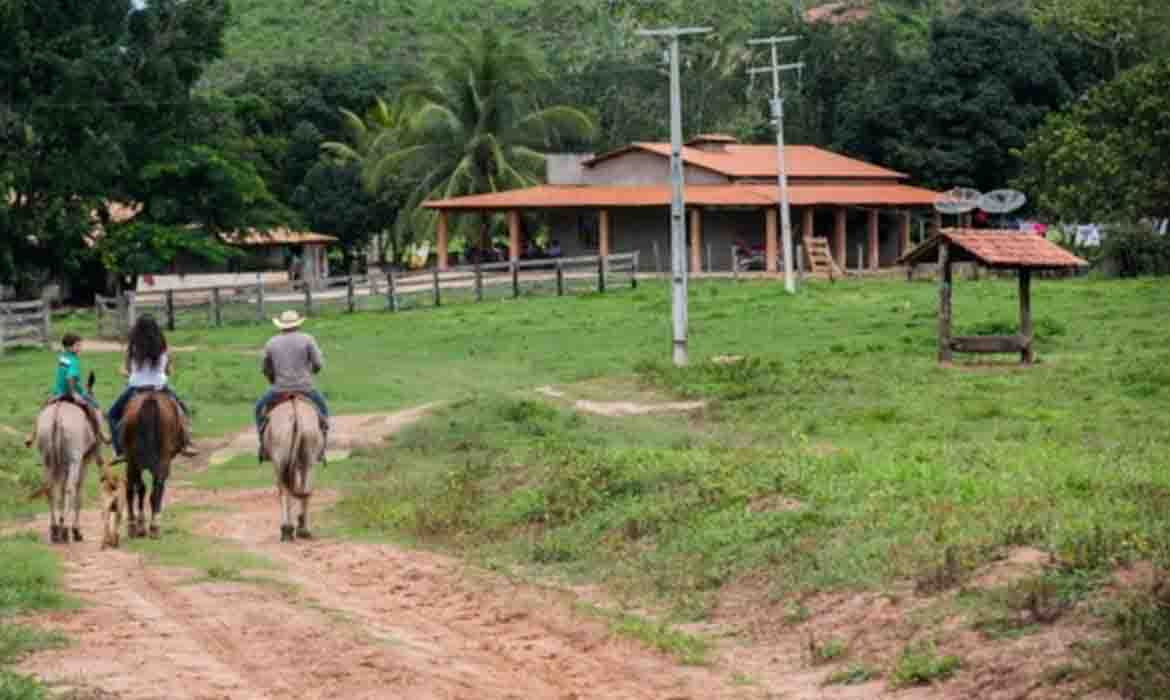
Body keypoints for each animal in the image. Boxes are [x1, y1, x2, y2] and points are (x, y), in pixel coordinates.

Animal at [34, 400, 102, 543]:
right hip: (74, 458)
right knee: (70, 488)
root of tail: (57, 416)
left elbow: (61, 488)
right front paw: (76, 531)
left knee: (50, 488)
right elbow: (78, 490)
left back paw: (55, 529)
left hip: (47, 456)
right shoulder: (84, 459)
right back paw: (64, 530)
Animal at [120, 393, 182, 540]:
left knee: (136, 487)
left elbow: (137, 489)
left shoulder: (132, 462)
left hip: (133, 460)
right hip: (162, 458)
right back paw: (154, 527)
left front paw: (137, 525)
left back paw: (139, 527)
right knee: (157, 488)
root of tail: (150, 397)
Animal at [263, 395, 322, 543]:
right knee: (305, 489)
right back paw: (302, 530)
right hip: (308, 452)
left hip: (281, 455)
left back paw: (288, 530)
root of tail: (296, 414)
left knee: (286, 489)